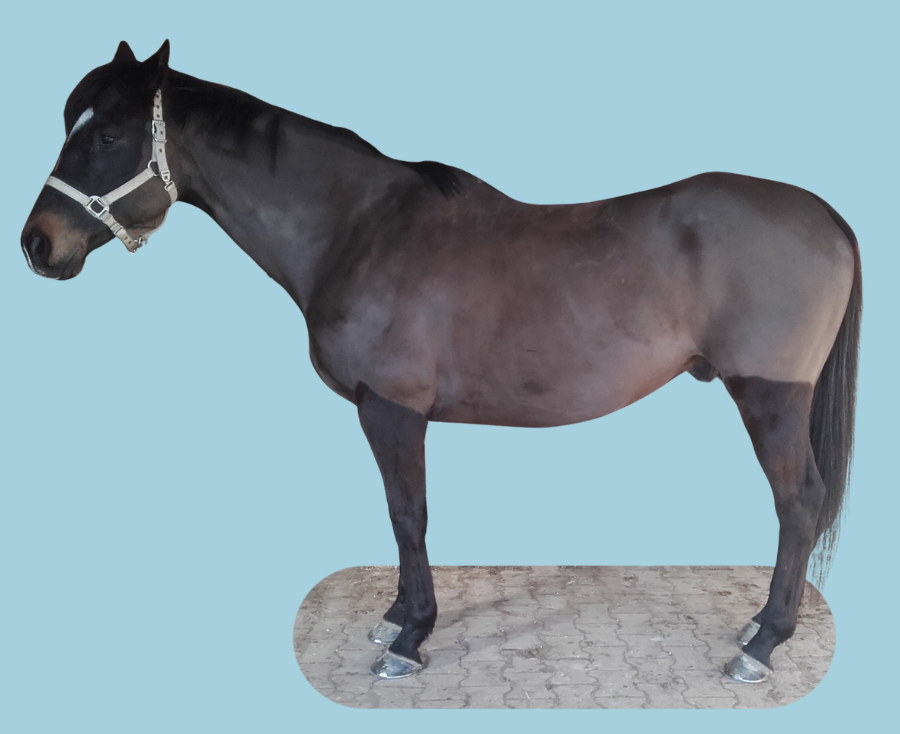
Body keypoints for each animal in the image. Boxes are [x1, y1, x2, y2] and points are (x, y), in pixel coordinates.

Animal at [21, 41, 860, 684]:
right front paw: (395, 616)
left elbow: (409, 514)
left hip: (769, 397)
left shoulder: (392, 410)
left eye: (109, 136)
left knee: (798, 503)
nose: (38, 244)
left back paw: (761, 644)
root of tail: (827, 217)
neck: (358, 229)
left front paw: (410, 638)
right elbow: (397, 520)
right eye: (72, 123)